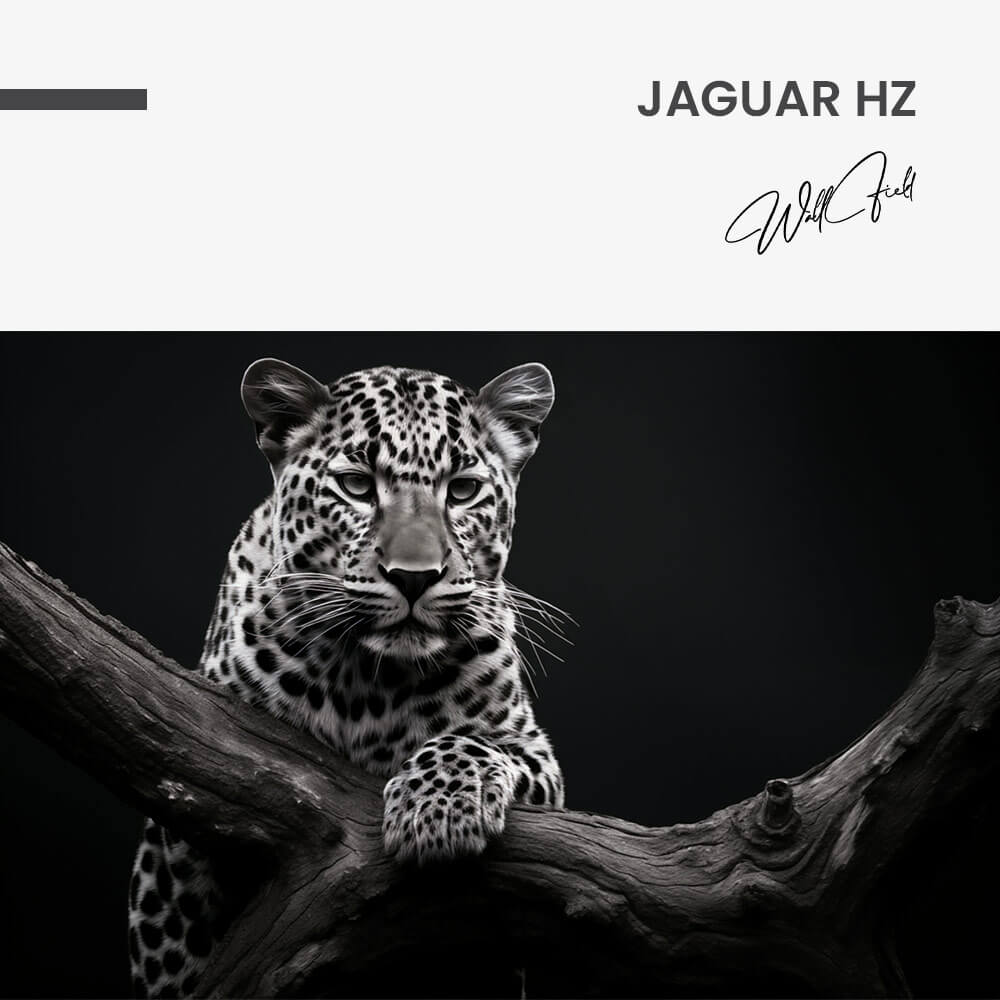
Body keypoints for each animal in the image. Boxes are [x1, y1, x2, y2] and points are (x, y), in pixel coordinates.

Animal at [127, 357, 566, 998]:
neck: (368, 679)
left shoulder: (535, 753)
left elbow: (471, 740)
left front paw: (437, 812)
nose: (415, 576)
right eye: (357, 486)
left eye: (463, 491)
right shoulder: (174, 858)